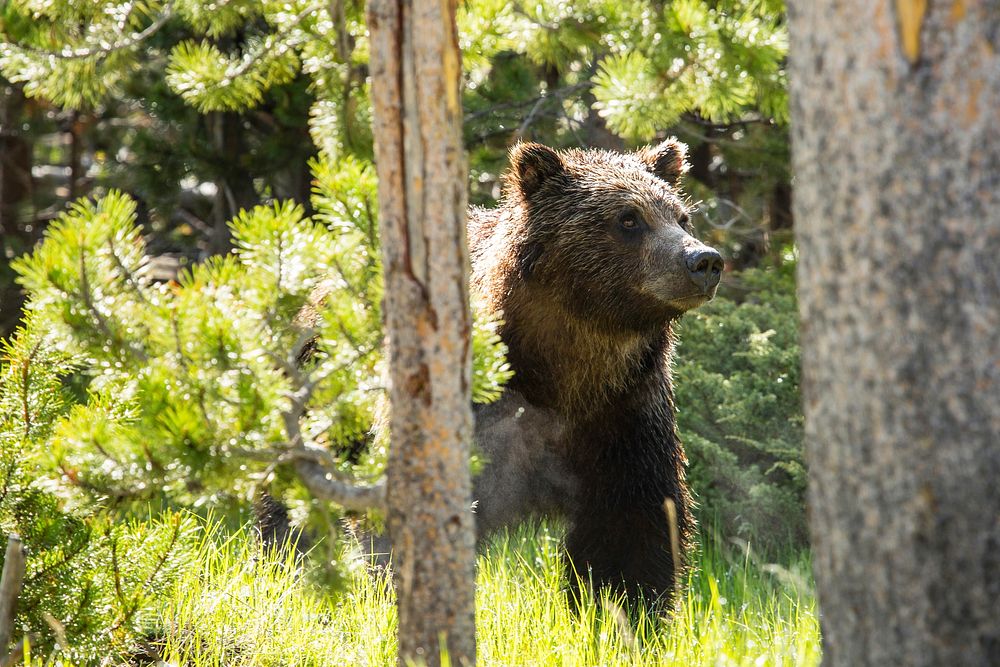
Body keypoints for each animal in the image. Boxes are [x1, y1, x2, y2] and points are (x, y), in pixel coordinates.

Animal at [464, 140, 724, 604]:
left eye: (681, 216)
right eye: (629, 218)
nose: (704, 261)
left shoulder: (625, 416)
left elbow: (631, 530)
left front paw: (621, 607)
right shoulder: (492, 407)